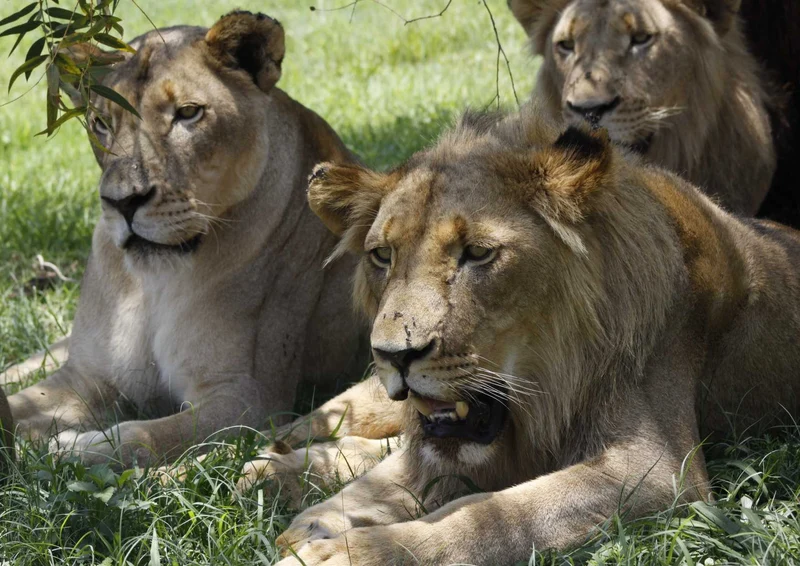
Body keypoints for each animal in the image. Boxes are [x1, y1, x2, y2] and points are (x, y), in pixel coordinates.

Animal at [3, 11, 371, 468]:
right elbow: (23, 402)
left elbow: (143, 435)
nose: (123, 202)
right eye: (101, 123)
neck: (151, 284)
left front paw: (73, 447)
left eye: (188, 113)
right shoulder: (84, 376)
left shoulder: (248, 401)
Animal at [261, 108, 800, 565]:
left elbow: (490, 514)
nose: (393, 355)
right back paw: (268, 464)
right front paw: (319, 520)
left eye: (478, 253)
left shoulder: (659, 472)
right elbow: (399, 477)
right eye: (381, 255)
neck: (545, 396)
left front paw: (356, 551)